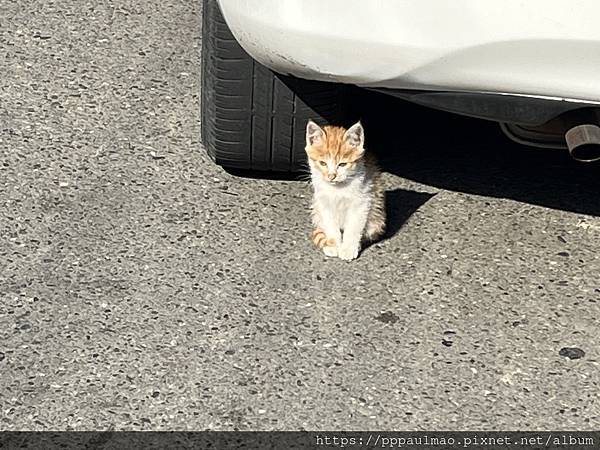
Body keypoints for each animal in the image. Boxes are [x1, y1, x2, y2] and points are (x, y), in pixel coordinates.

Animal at [308, 119, 386, 260]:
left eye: (342, 164)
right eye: (323, 163)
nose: (331, 176)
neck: (337, 188)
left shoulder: (363, 201)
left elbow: (354, 227)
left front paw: (348, 248)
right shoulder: (323, 202)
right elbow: (331, 226)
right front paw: (334, 245)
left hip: (377, 216)